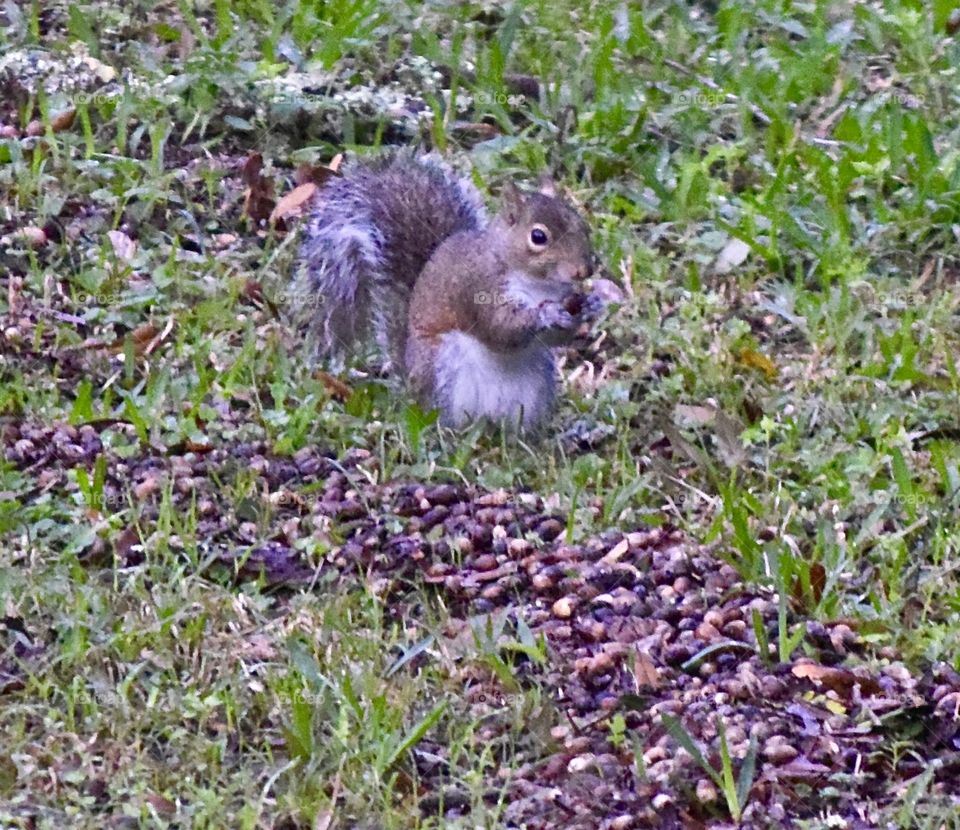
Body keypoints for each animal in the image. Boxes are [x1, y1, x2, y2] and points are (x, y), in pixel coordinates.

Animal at [295, 153, 597, 430]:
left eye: (583, 226)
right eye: (538, 237)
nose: (584, 271)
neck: (536, 283)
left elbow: (558, 337)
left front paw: (591, 304)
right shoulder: (477, 287)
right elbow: (500, 329)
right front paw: (547, 313)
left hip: (537, 379)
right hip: (443, 364)